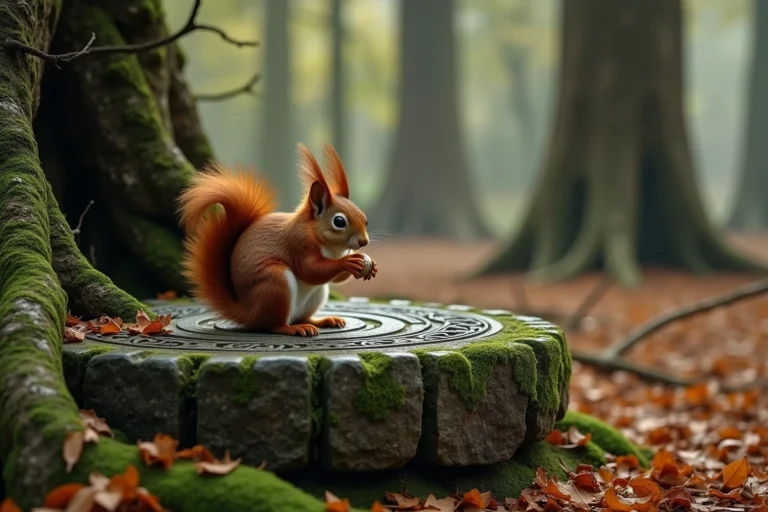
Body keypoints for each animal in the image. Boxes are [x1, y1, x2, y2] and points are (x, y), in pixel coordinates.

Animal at [176, 143, 378, 337]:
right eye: (339, 221)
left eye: (365, 218)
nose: (364, 242)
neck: (331, 247)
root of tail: (246, 312)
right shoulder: (299, 243)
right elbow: (310, 270)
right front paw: (348, 262)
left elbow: (334, 279)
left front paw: (369, 265)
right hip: (275, 283)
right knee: (272, 325)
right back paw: (292, 328)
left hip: (316, 294)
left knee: (302, 316)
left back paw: (324, 320)